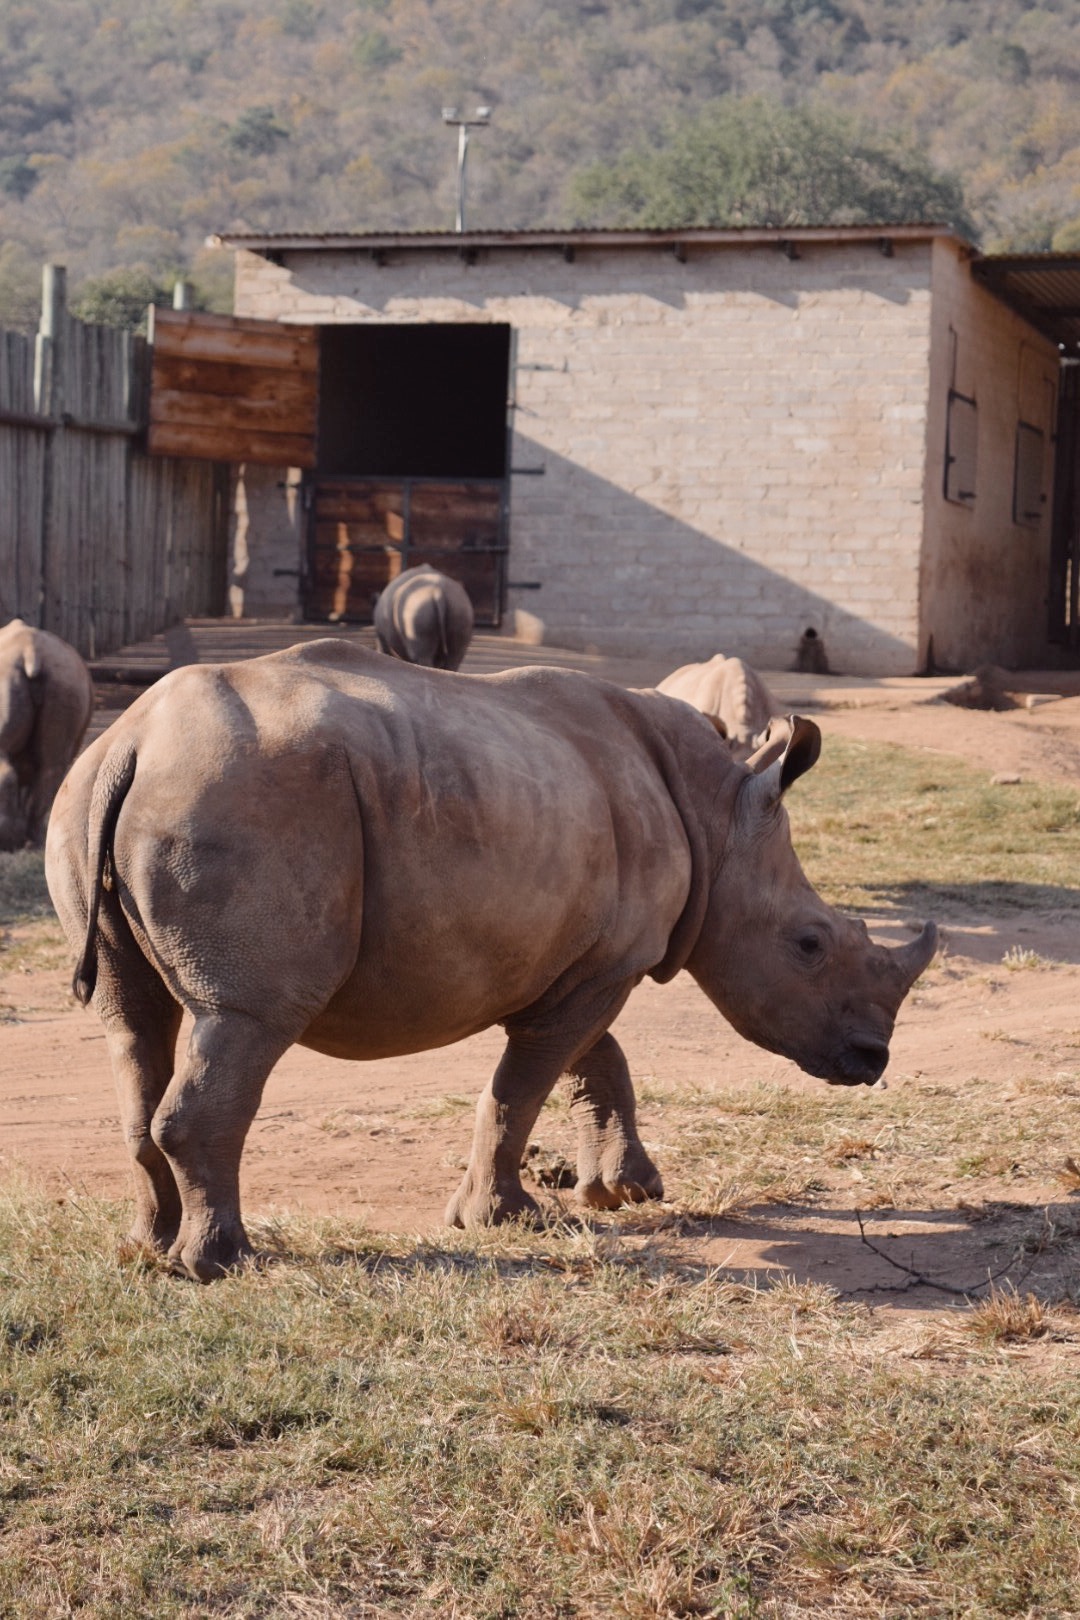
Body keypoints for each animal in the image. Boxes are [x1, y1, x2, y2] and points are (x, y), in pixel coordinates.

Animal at [45, 641, 936, 1280]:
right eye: (810, 945)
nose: (873, 1060)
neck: (718, 819)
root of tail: (130, 742)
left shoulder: (575, 956)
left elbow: (585, 1059)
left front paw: (624, 1191)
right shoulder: (605, 963)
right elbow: (526, 1084)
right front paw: (505, 1219)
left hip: (99, 795)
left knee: (134, 1023)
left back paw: (147, 1251)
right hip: (243, 799)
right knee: (246, 1017)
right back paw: (224, 1263)